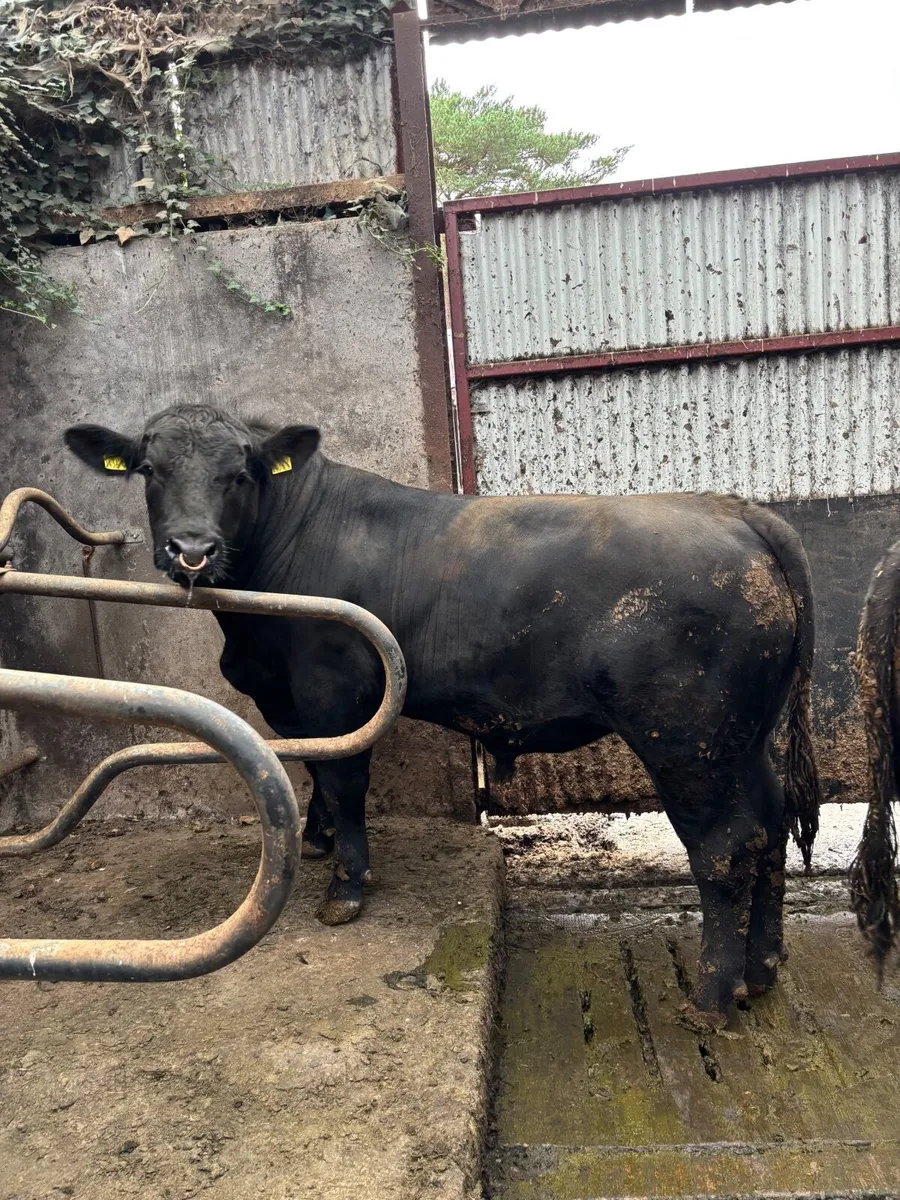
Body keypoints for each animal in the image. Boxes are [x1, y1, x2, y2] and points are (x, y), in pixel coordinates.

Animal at [65, 403, 823, 1026]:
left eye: (241, 473)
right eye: (150, 470)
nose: (192, 550)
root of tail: (735, 511)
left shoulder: (332, 688)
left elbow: (344, 778)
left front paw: (346, 885)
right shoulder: (289, 699)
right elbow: (312, 770)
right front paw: (318, 839)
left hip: (687, 738)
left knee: (725, 849)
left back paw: (711, 998)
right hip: (746, 737)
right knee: (770, 829)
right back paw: (762, 970)